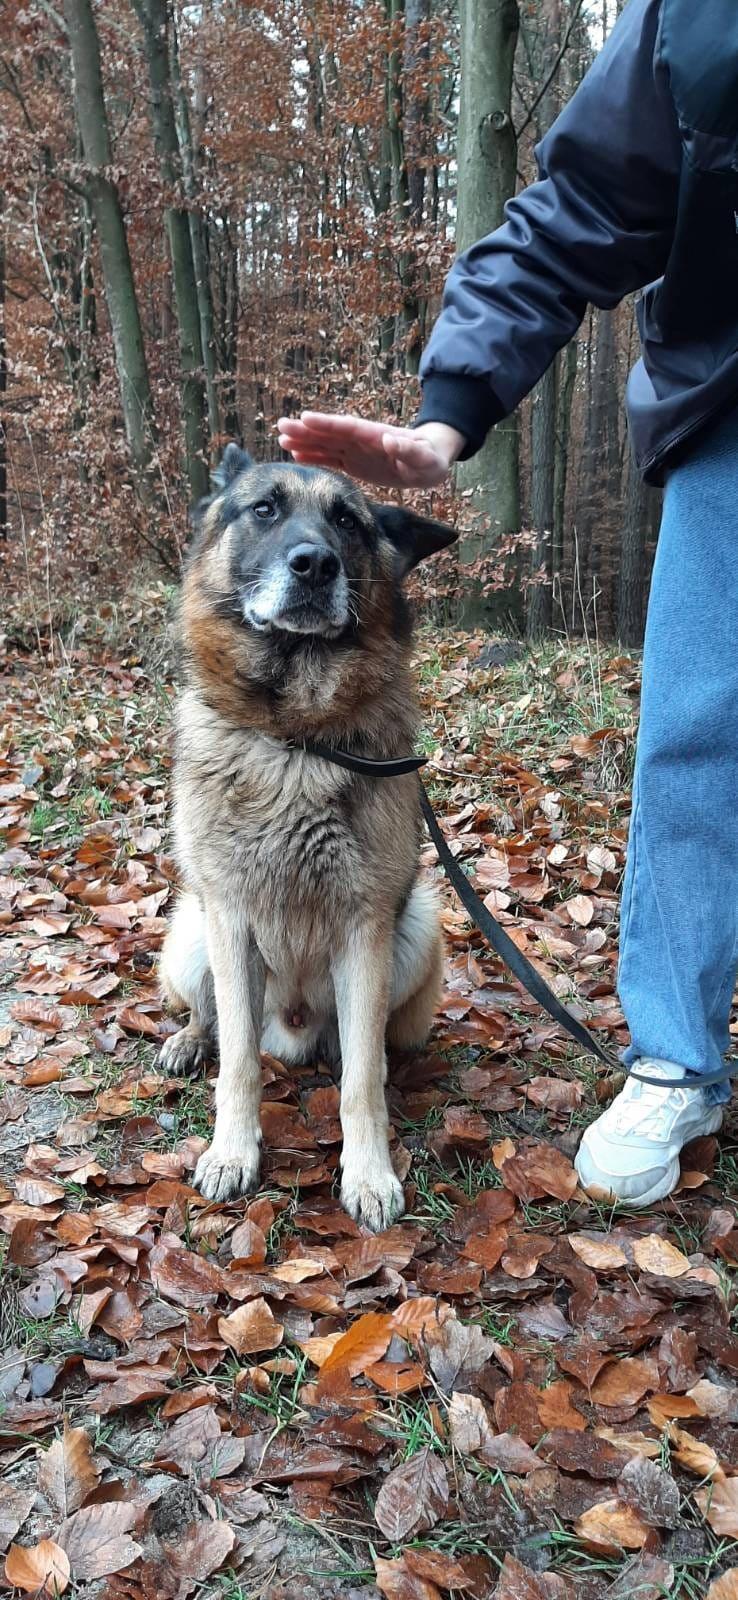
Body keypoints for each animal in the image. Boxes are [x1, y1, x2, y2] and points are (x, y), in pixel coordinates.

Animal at [159, 443, 456, 1231]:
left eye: (347, 521)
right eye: (265, 508)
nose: (314, 564)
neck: (295, 738)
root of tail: (290, 1032)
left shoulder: (365, 926)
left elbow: (362, 1083)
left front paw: (370, 1172)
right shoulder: (230, 920)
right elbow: (237, 1062)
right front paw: (232, 1151)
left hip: (418, 927)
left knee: (368, 1049)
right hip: (190, 930)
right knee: (212, 1017)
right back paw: (188, 1038)